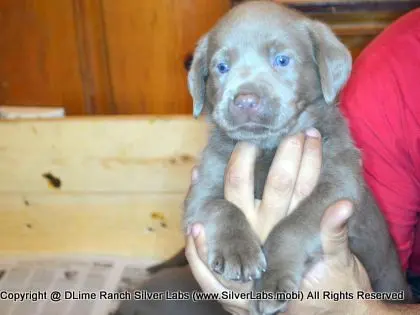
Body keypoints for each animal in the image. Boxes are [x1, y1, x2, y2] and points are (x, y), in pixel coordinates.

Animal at [151, 1, 410, 314]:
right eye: (221, 67)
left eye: (282, 60)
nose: (245, 101)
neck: (268, 147)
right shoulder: (200, 190)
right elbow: (221, 207)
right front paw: (237, 251)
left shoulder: (337, 187)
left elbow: (291, 226)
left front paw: (271, 284)